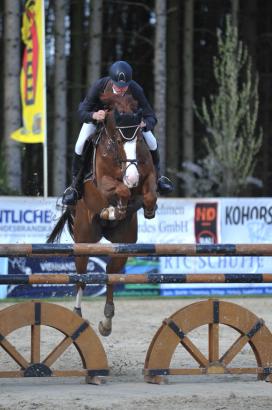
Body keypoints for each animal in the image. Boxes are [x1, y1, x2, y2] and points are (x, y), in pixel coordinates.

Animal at [47, 93, 156, 336]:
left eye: (139, 140)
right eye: (118, 141)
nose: (132, 177)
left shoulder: (147, 175)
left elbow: (150, 194)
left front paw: (144, 208)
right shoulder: (103, 182)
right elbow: (120, 190)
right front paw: (116, 207)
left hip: (124, 243)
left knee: (110, 274)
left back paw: (106, 321)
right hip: (84, 240)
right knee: (81, 277)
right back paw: (77, 315)